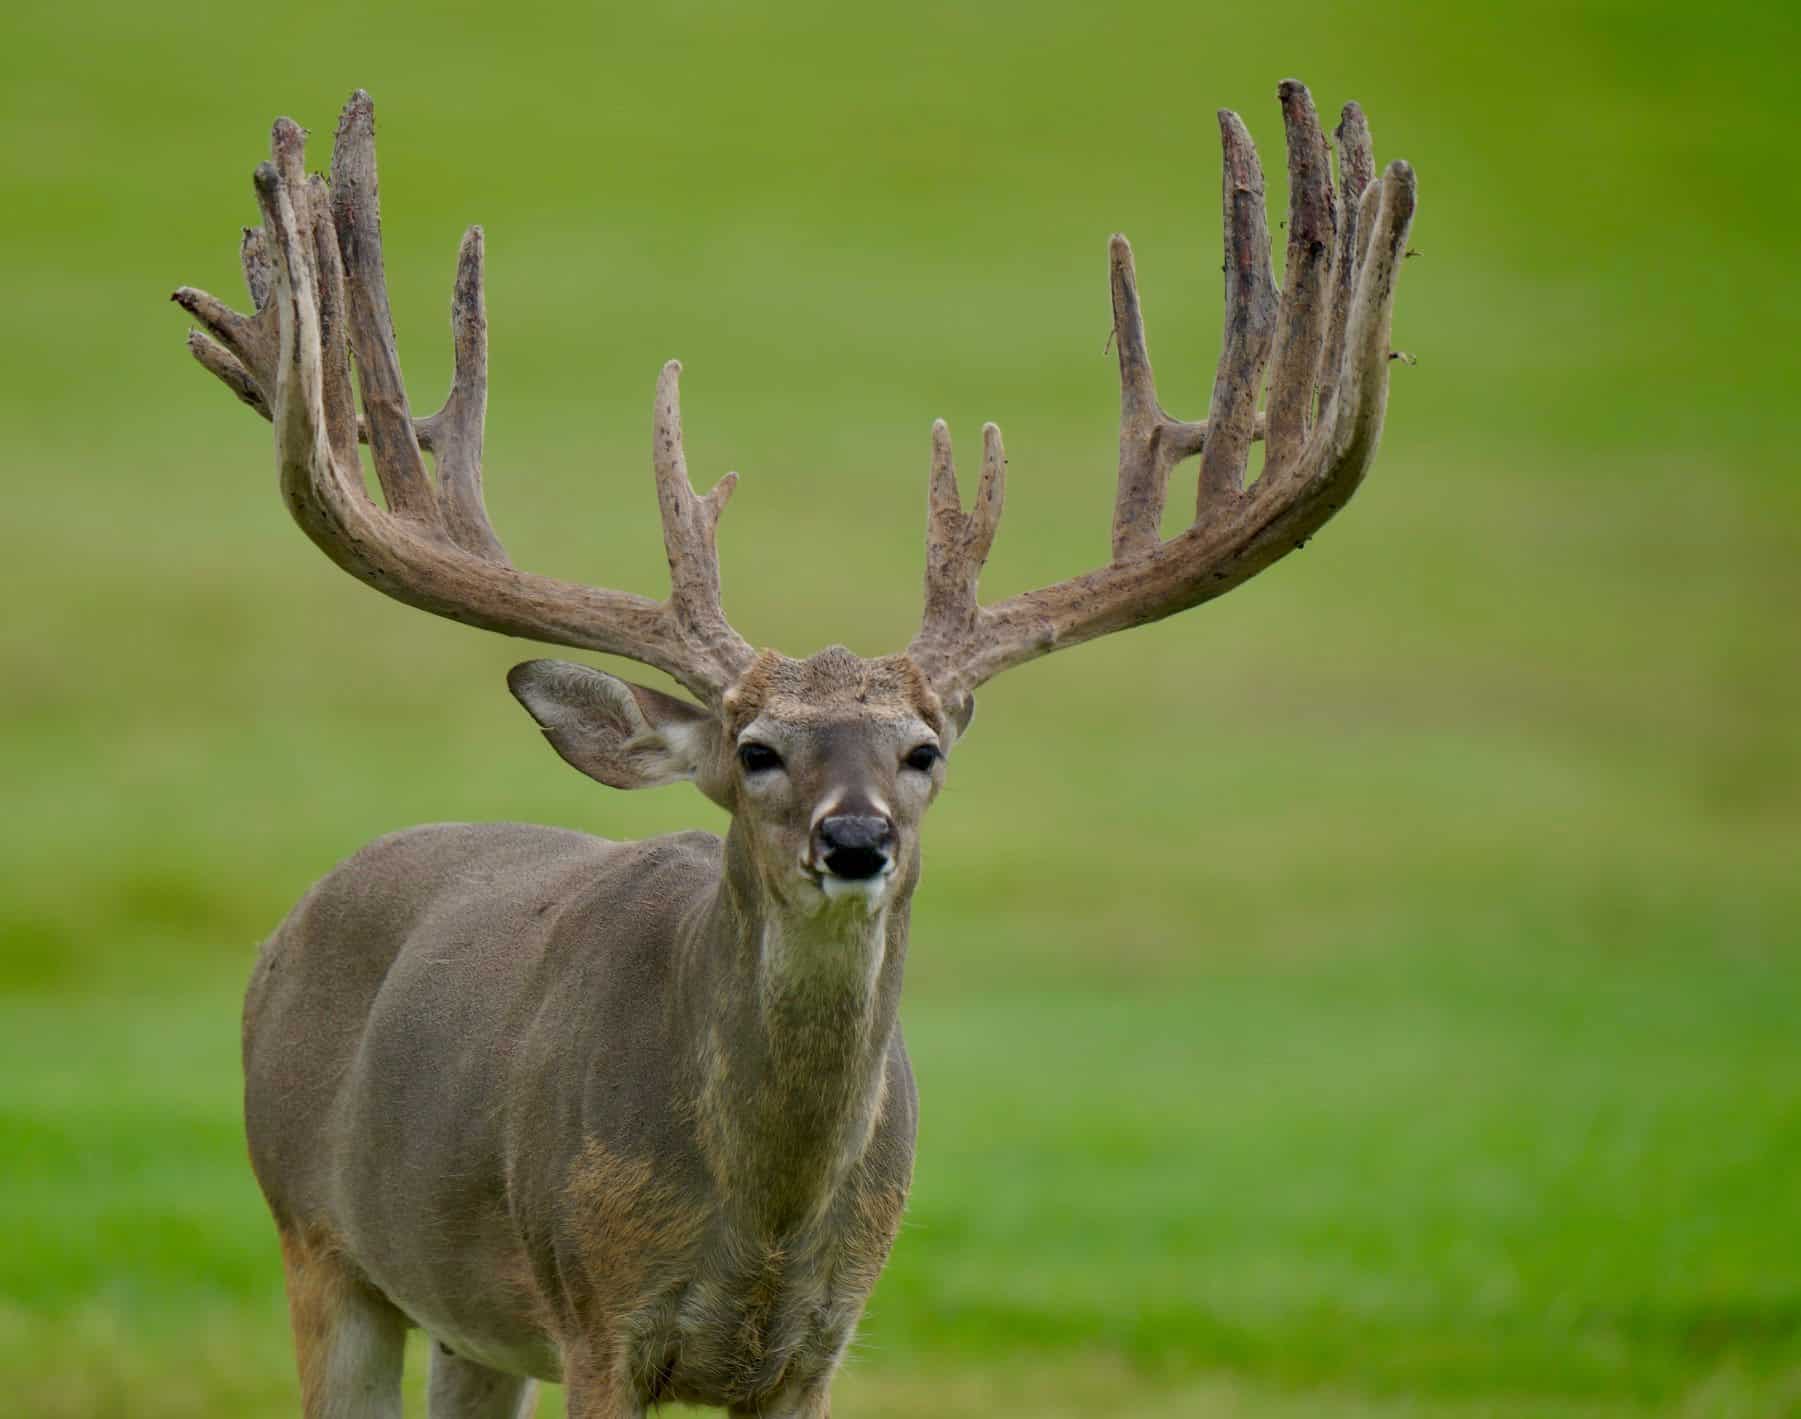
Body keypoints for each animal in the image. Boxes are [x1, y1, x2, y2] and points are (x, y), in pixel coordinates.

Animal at [171, 81, 1414, 1419]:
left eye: (922, 751)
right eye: (758, 749)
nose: (855, 838)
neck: (765, 1220)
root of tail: (289, 929)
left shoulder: (820, 1339)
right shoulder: (595, 1313)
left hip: (470, 1325)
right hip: (318, 1238)